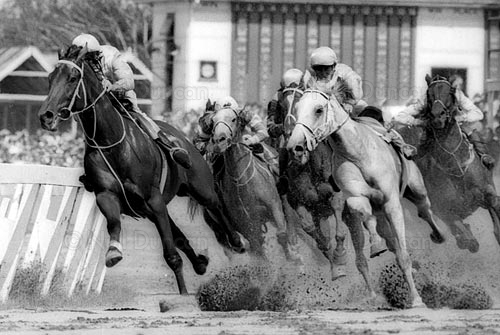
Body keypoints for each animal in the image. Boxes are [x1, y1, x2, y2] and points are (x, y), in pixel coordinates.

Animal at [36, 46, 244, 296]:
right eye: (50, 78)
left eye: (73, 78)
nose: (46, 116)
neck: (111, 142)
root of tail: (185, 138)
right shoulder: (108, 195)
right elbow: (114, 223)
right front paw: (113, 252)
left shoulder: (154, 200)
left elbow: (171, 255)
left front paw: (184, 294)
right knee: (181, 237)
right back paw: (200, 264)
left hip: (199, 187)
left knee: (215, 205)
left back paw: (236, 241)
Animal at [286, 88, 446, 308]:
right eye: (296, 109)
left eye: (318, 109)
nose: (295, 146)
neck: (359, 154)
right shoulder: (353, 198)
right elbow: (361, 211)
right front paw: (374, 247)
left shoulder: (391, 203)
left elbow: (403, 255)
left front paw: (417, 300)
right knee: (382, 240)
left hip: (416, 186)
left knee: (424, 209)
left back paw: (438, 236)